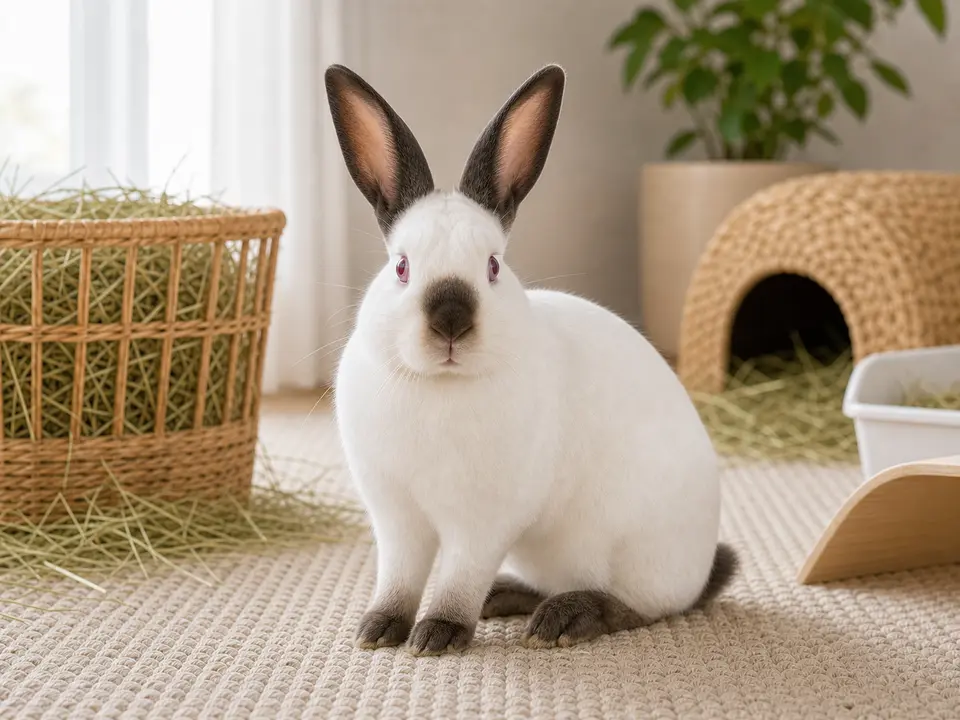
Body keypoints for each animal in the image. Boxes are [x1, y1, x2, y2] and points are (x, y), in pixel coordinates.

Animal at [324, 62, 737, 656]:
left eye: (493, 266)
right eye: (401, 267)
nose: (451, 321)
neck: (441, 385)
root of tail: (701, 568)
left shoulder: (482, 523)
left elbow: (458, 578)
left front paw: (437, 635)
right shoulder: (396, 517)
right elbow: (399, 577)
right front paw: (378, 630)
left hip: (631, 553)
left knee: (642, 607)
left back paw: (562, 620)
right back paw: (506, 597)